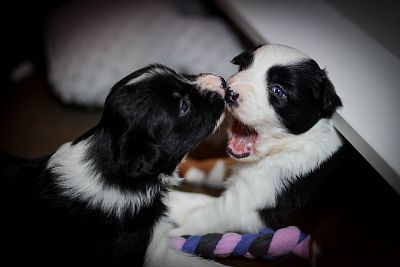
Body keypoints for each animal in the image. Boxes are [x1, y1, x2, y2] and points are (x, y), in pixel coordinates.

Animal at [169, 44, 344, 237]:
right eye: (243, 67)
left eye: (277, 91)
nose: (229, 92)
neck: (288, 146)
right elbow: (216, 167)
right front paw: (189, 168)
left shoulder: (245, 205)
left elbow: (206, 212)